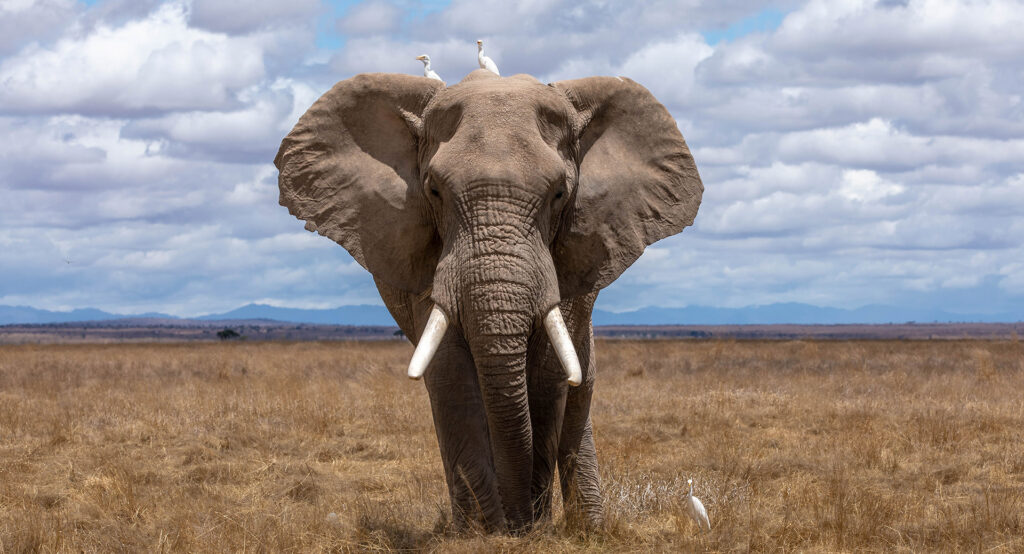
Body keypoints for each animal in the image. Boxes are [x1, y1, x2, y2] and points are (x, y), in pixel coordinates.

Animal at [274, 69, 703, 533]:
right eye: (434, 191)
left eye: (559, 194)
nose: (519, 523)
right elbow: (451, 374)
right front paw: (485, 533)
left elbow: (548, 376)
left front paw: (529, 528)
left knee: (579, 389)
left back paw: (589, 528)